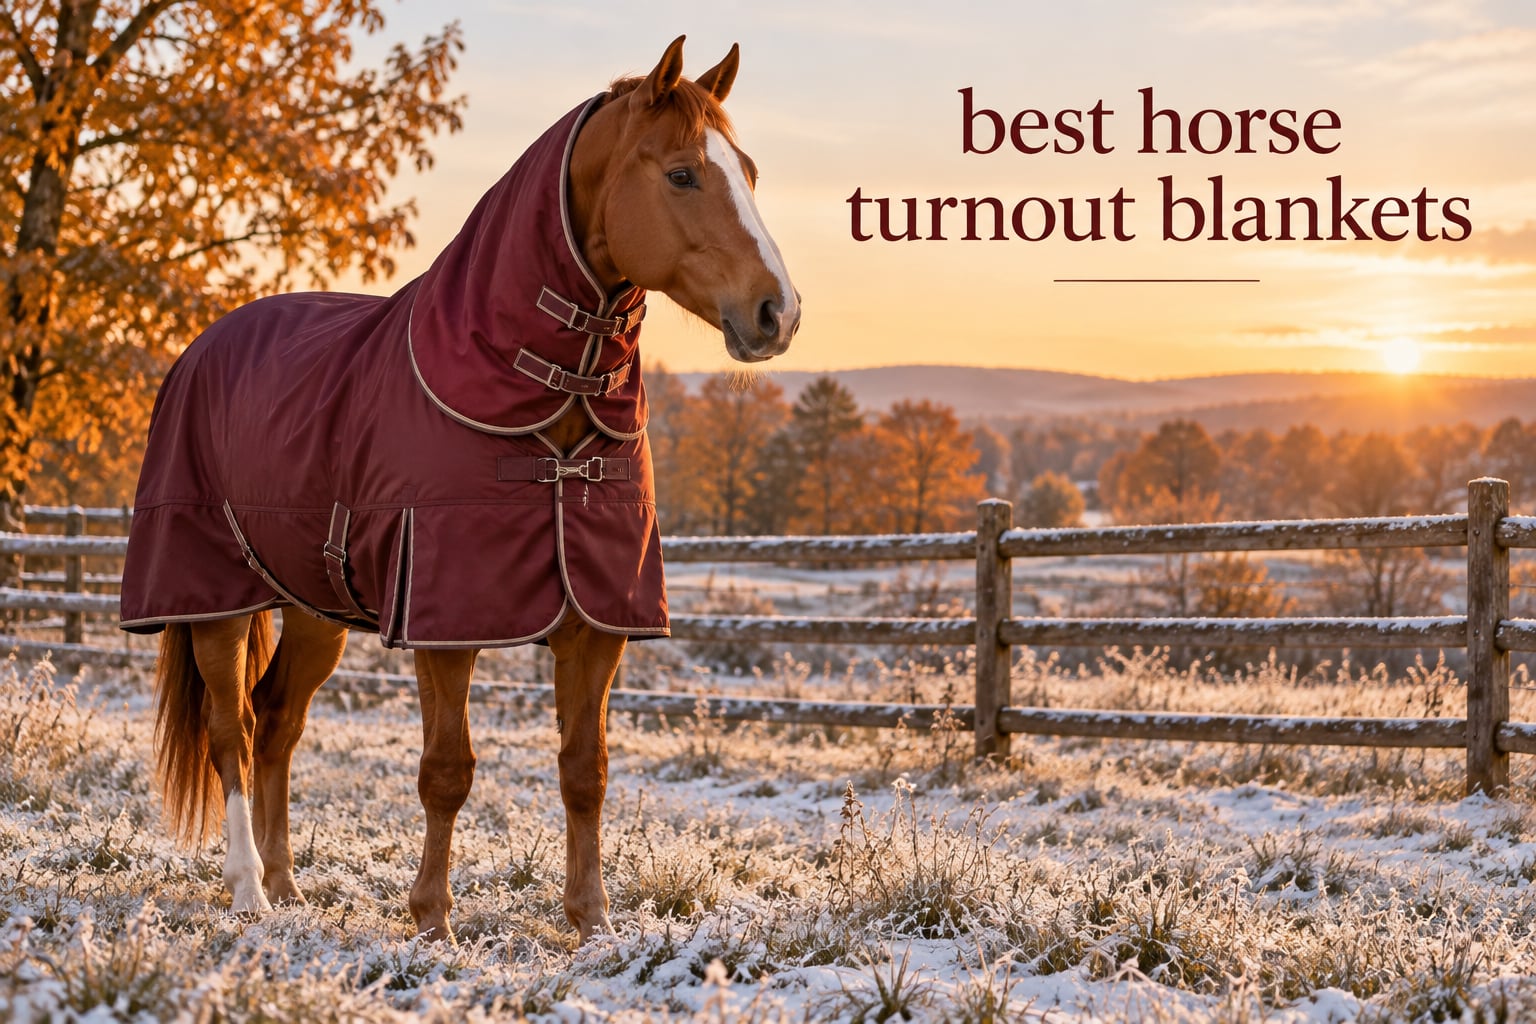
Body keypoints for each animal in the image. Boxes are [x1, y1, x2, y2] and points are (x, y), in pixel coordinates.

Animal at [118, 36, 799, 944]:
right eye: (683, 174)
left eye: (749, 170)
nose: (777, 313)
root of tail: (203, 346)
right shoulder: (444, 622)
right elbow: (447, 769)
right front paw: (432, 921)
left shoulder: (597, 622)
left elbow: (585, 769)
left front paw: (591, 922)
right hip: (214, 599)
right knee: (235, 729)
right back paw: (249, 891)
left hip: (312, 607)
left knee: (279, 723)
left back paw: (289, 884)